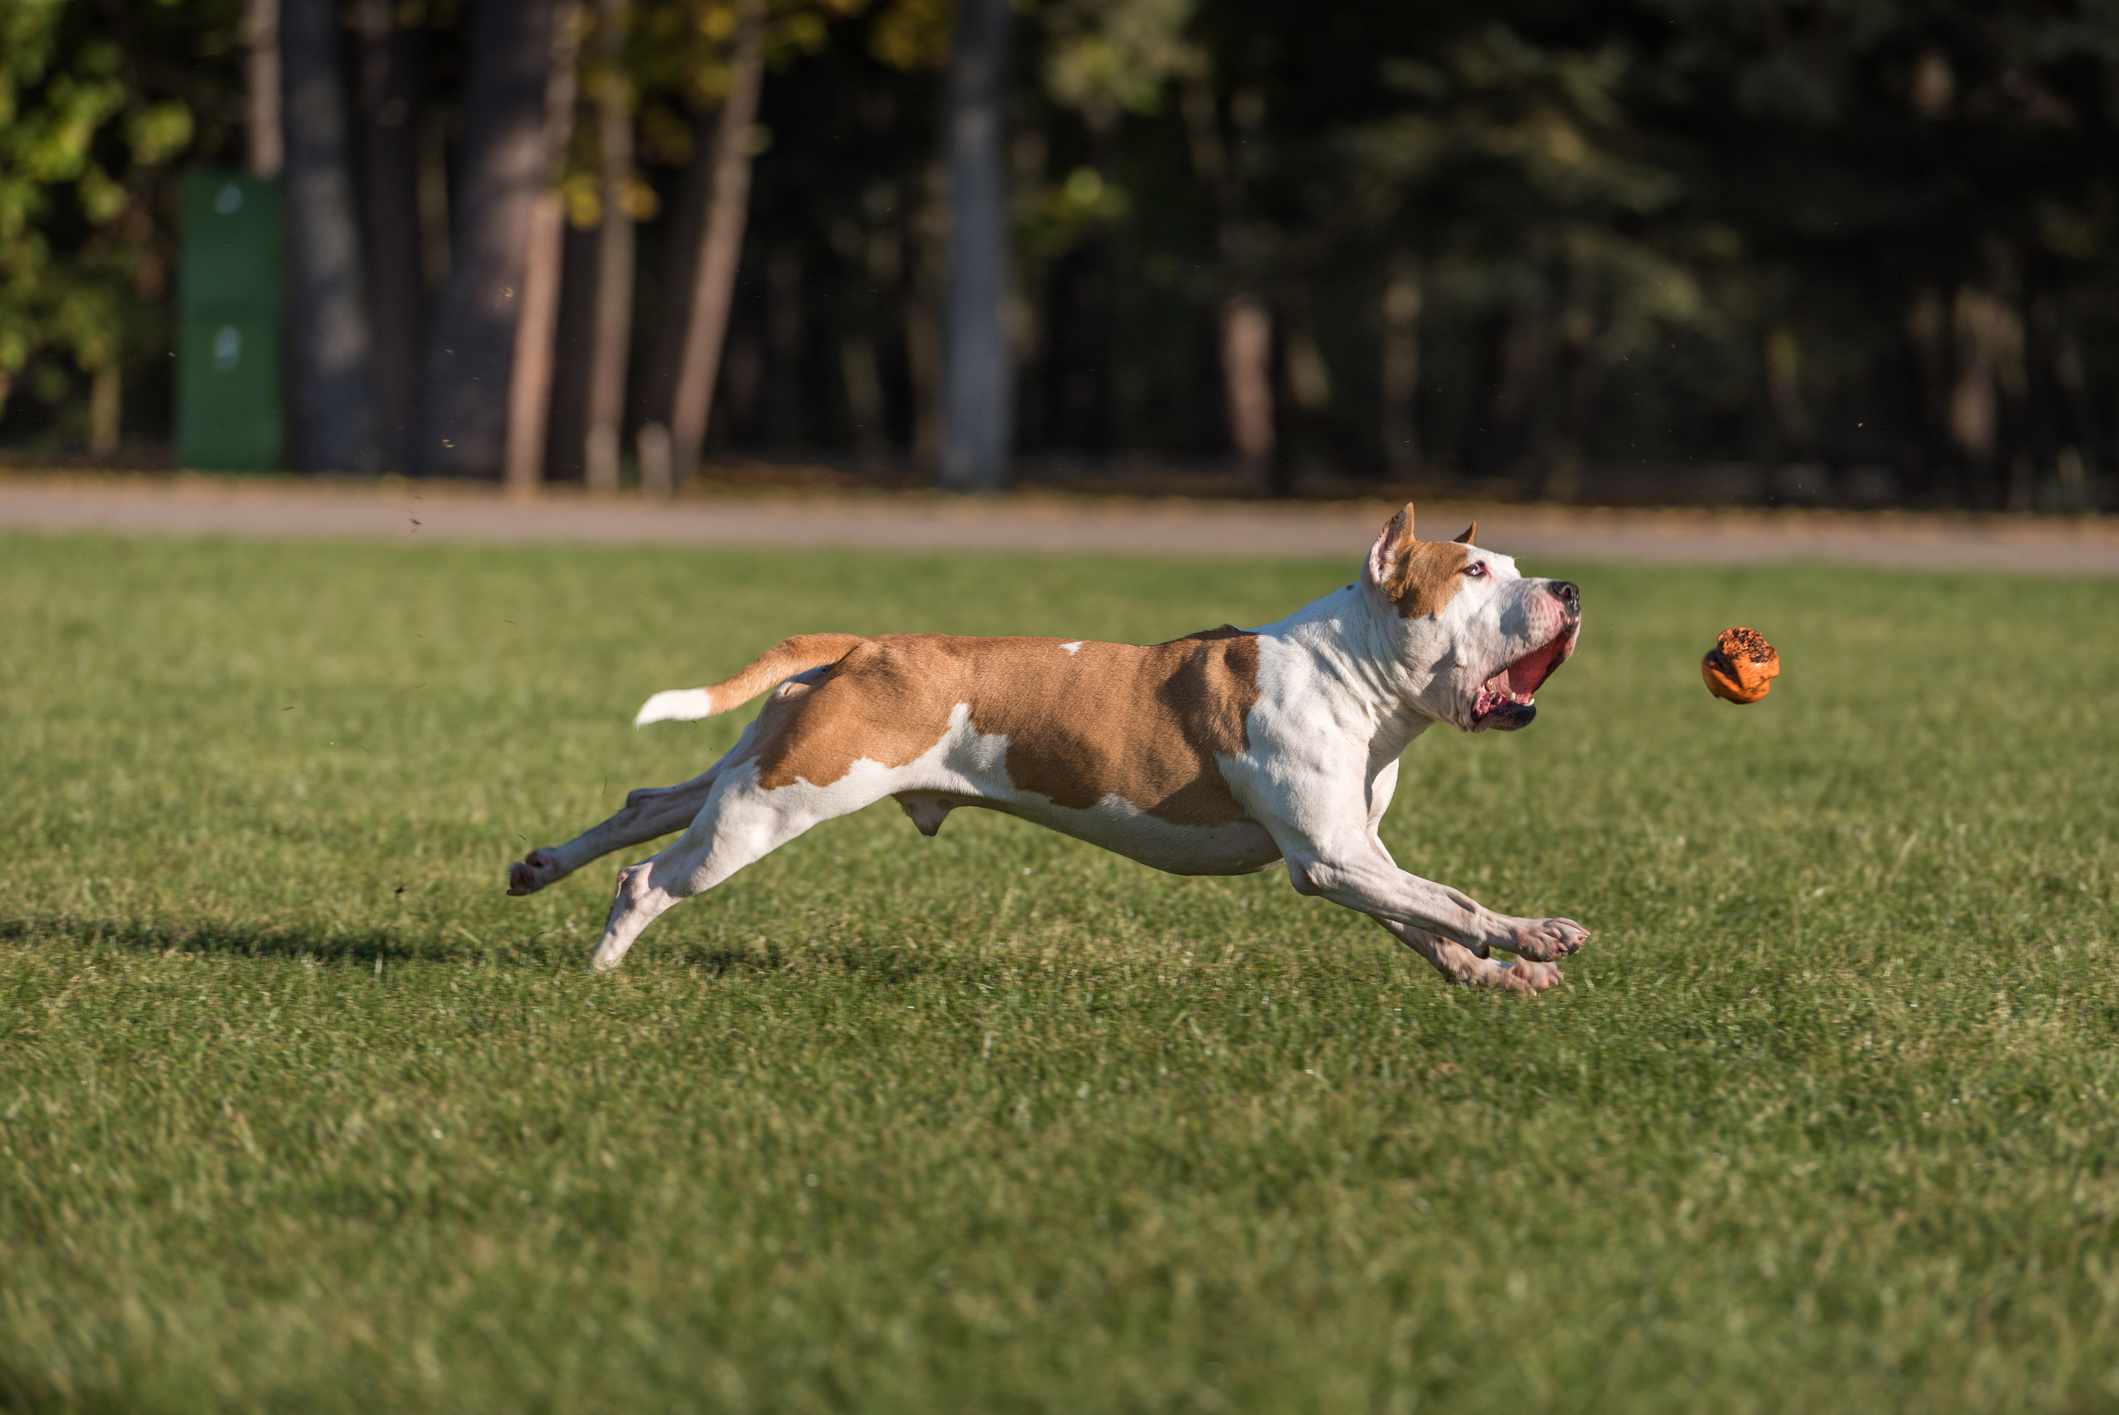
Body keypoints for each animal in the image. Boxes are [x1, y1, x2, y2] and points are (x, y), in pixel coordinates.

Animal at [504, 502, 1585, 991]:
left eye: (1513, 564)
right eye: (1474, 571)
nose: (1569, 587)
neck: (1352, 667)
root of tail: (863, 644)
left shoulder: (1356, 853)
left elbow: (1425, 917)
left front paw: (1496, 972)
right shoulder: (1328, 858)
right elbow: (1452, 899)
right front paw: (1535, 933)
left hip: (761, 767)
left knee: (648, 803)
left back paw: (540, 866)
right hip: (773, 805)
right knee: (652, 875)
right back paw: (604, 964)